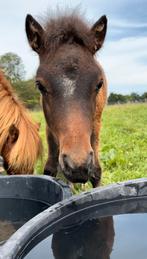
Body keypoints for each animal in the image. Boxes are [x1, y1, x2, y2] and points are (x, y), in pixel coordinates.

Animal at [25, 12, 107, 187]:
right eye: (40, 85)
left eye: (99, 84)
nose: (78, 167)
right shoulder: (50, 128)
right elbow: (50, 169)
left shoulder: (96, 125)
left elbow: (96, 171)